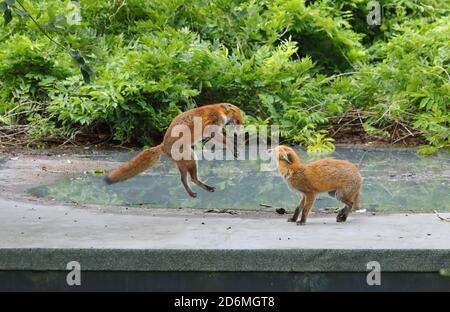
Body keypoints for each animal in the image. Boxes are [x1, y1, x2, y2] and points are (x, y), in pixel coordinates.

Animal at [105, 103, 243, 197]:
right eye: (239, 119)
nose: (241, 128)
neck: (219, 111)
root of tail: (162, 145)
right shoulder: (210, 126)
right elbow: (227, 141)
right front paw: (234, 149)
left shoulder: (212, 132)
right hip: (191, 159)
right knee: (192, 178)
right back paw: (204, 188)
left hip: (184, 162)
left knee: (183, 179)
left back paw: (193, 192)